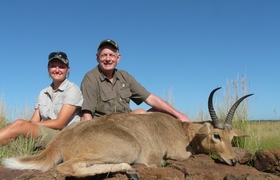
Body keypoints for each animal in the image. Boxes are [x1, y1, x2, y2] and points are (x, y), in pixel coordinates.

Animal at [2, 87, 253, 179]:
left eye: (232, 137)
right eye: (216, 135)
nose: (233, 161)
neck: (182, 130)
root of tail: (61, 139)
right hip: (127, 148)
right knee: (65, 167)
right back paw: (129, 170)